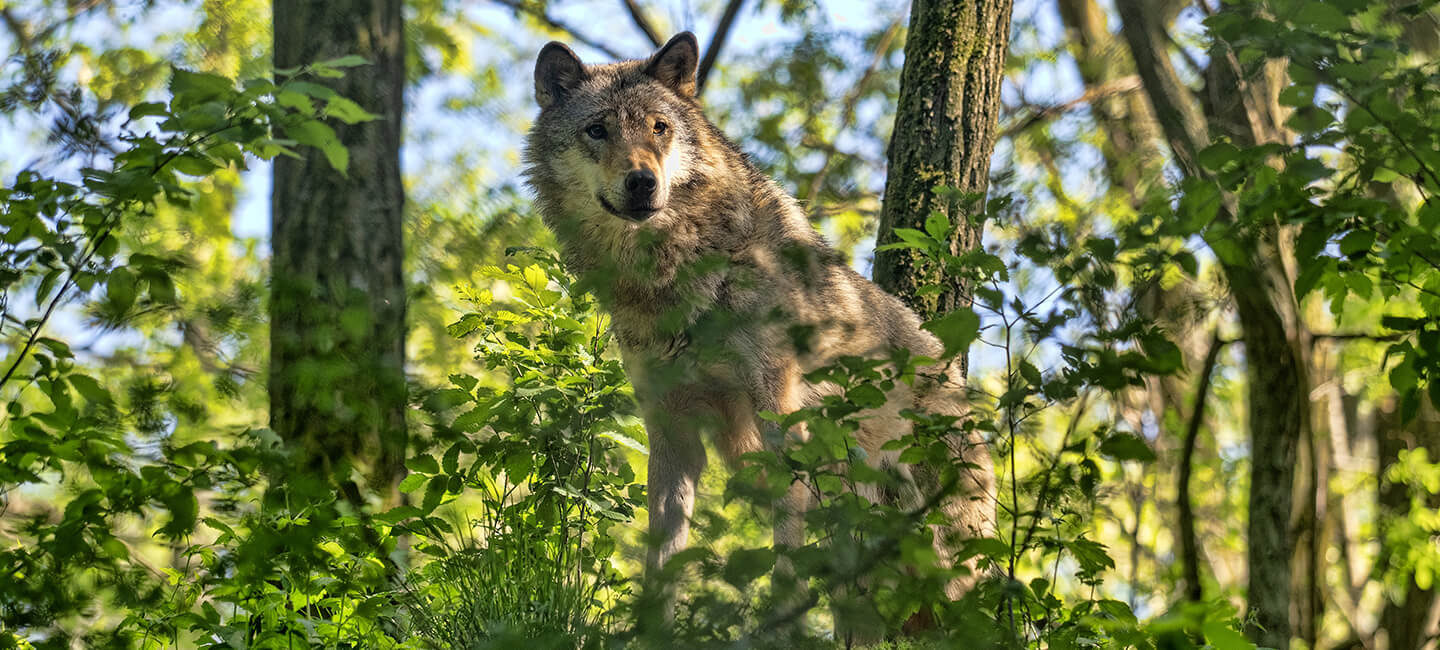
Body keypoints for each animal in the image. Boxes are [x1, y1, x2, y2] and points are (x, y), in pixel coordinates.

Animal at [524, 31, 996, 631]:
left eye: (659, 127)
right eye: (597, 130)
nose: (642, 182)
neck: (678, 273)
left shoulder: (780, 415)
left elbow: (787, 551)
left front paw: (781, 624)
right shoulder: (670, 430)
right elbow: (663, 557)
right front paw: (651, 631)